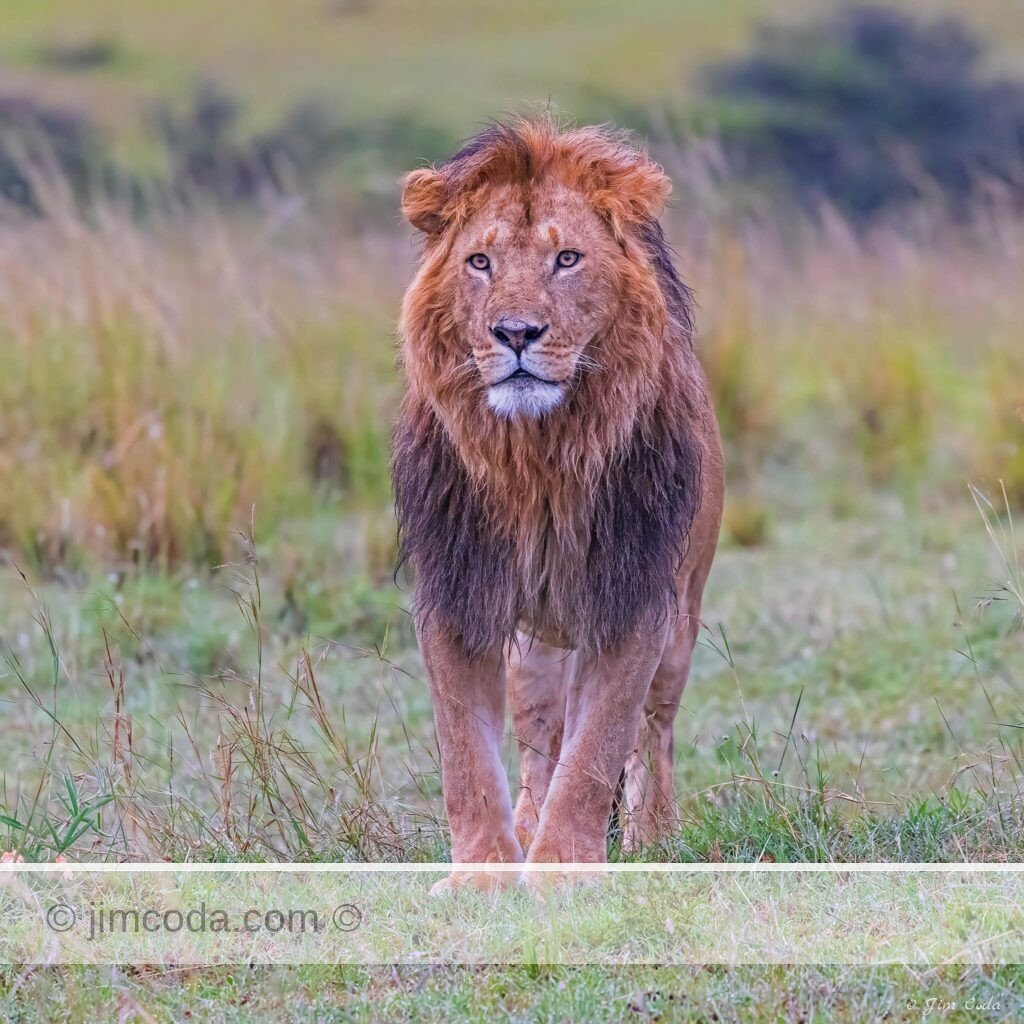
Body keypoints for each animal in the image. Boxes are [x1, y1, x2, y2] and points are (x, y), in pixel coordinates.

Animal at [392, 118, 724, 889]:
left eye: (567, 258)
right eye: (480, 262)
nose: (515, 333)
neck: (538, 458)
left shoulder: (633, 598)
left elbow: (598, 748)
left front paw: (566, 868)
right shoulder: (457, 592)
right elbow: (465, 757)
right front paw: (483, 873)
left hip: (681, 622)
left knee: (654, 731)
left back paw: (654, 838)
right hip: (534, 651)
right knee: (540, 745)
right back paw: (525, 827)